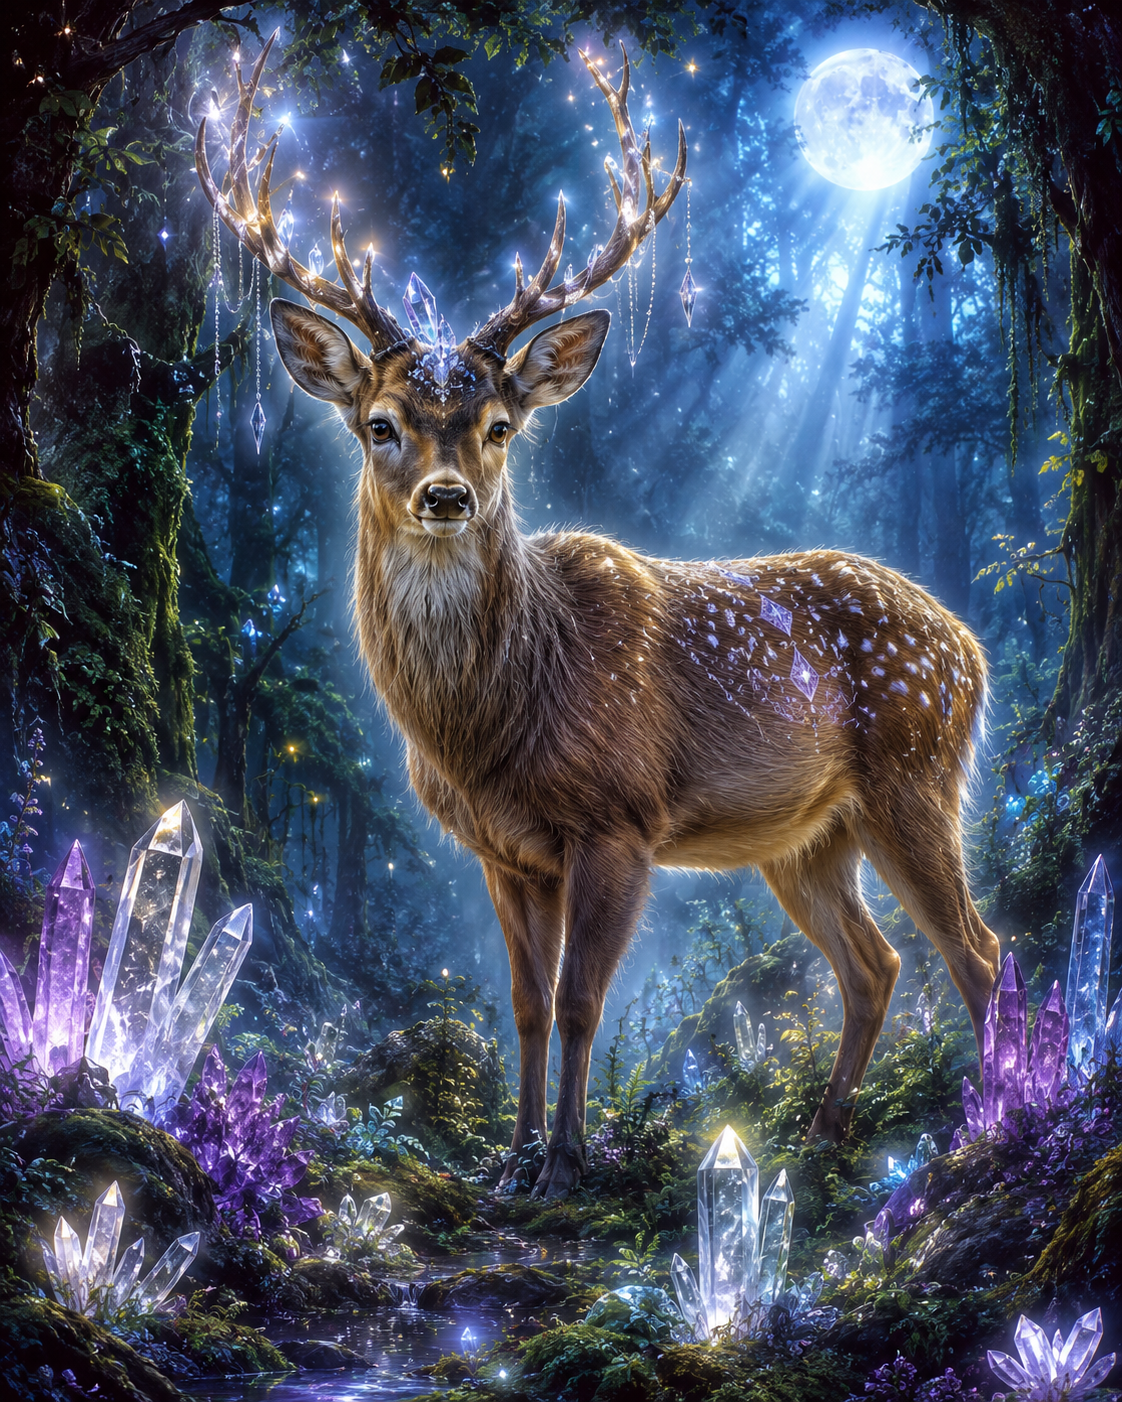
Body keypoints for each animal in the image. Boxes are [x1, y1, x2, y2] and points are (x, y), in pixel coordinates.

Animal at [197, 39, 1002, 1198]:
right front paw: (514, 1156)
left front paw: (569, 1162)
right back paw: (822, 1134)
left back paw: (994, 1120)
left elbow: (583, 999)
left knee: (976, 949)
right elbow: (528, 1006)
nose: (448, 496)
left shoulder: (619, 817)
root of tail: (973, 648)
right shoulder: (504, 850)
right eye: (380, 423)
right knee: (874, 961)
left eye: (500, 424)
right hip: (807, 835)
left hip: (916, 772)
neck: (495, 722)